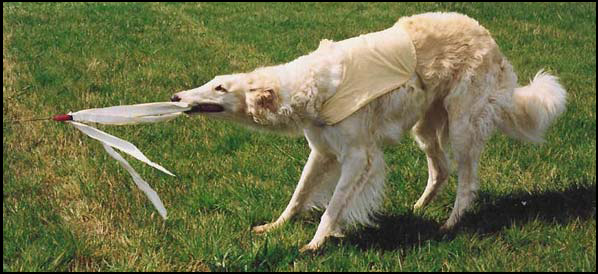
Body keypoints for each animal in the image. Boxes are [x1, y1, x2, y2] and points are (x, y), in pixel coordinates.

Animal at [172, 12, 568, 253]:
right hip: (425, 126)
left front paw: (315, 244)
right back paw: (419, 206)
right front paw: (274, 227)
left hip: (462, 126)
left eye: (221, 87)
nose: (175, 96)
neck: (313, 86)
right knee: (440, 170)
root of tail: (489, 38)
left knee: (466, 184)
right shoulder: (322, 152)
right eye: (212, 81)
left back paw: (449, 224)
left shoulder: (358, 157)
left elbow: (332, 207)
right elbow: (299, 195)